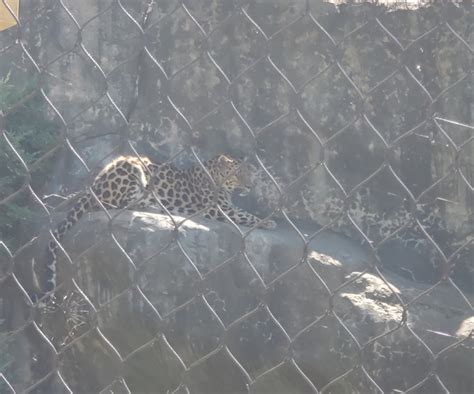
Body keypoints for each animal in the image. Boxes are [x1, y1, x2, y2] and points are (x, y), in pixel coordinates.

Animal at [39, 154, 278, 296]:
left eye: (250, 174)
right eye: (237, 175)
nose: (249, 185)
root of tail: (95, 184)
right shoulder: (217, 209)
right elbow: (245, 215)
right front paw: (270, 220)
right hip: (133, 167)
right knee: (115, 205)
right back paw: (155, 206)